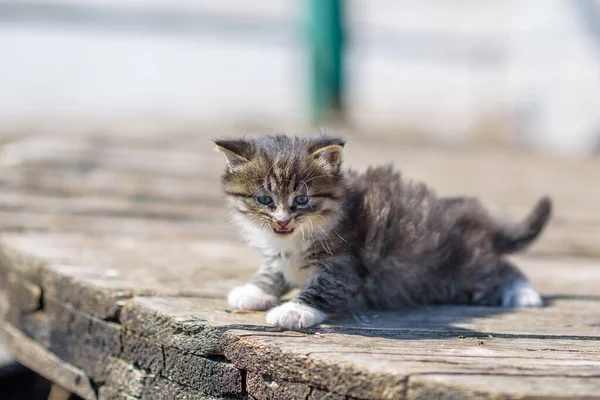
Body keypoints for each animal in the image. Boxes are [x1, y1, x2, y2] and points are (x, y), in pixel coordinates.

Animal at [217, 134, 552, 328]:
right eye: (265, 200)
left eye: (301, 200)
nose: (283, 221)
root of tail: (468, 215)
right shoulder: (279, 254)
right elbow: (272, 271)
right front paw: (254, 290)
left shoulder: (345, 264)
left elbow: (324, 289)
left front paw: (294, 311)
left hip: (465, 270)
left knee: (501, 267)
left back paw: (524, 293)